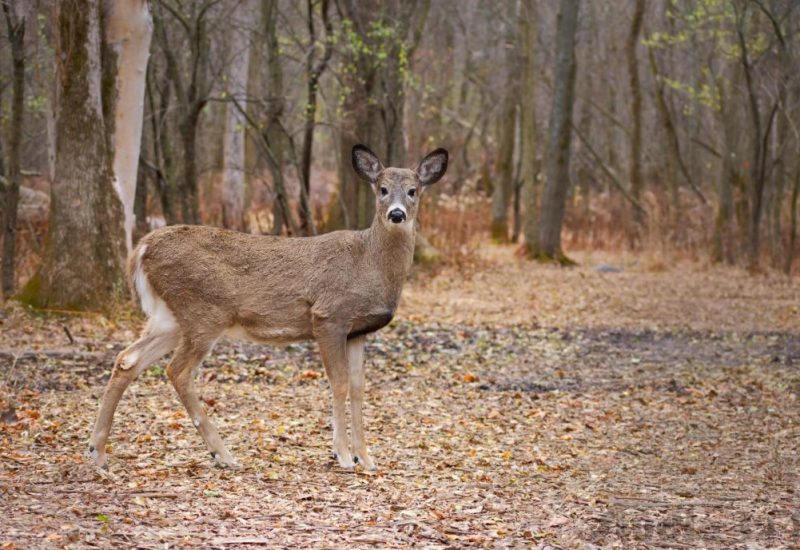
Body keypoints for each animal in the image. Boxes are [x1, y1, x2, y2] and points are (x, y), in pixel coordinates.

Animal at [90, 144, 450, 472]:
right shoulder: (329, 315)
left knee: (127, 359)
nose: (397, 214)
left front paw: (367, 458)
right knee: (177, 370)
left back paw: (98, 453)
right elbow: (339, 383)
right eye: (382, 189)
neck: (371, 264)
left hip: (170, 317)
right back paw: (222, 454)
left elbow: (359, 388)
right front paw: (344, 456)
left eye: (413, 191)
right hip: (203, 312)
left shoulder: (358, 330)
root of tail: (142, 248)